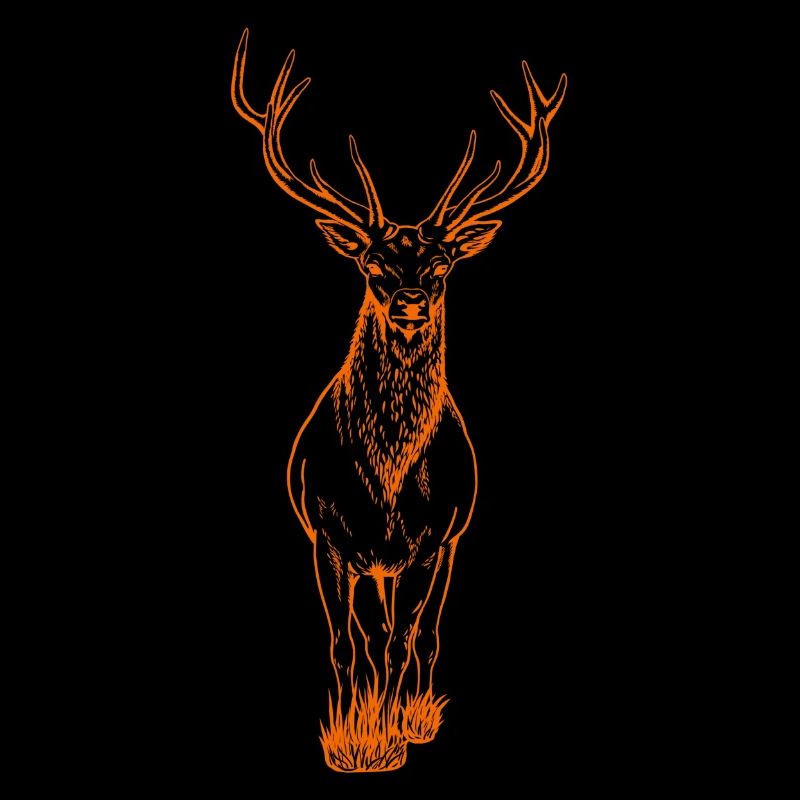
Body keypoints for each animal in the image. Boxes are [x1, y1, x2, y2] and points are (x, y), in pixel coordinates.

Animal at [232, 29, 566, 771]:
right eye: (372, 264)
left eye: (441, 264)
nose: (411, 300)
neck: (383, 484)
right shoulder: (325, 534)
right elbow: (345, 644)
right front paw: (350, 739)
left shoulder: (434, 539)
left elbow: (399, 642)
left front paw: (388, 739)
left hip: (445, 547)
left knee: (422, 635)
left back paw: (413, 716)